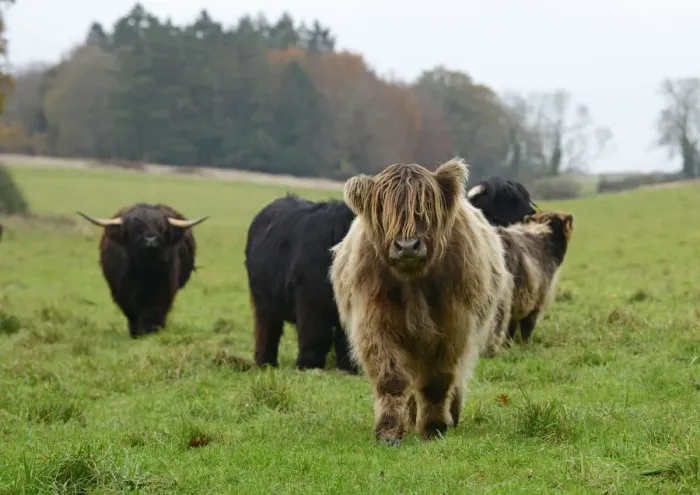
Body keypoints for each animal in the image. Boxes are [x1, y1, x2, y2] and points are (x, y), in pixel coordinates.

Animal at [77, 203, 208, 338]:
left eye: (161, 228)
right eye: (134, 229)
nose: (151, 241)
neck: (145, 271)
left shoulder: (165, 288)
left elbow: (156, 310)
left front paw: (152, 330)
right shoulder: (122, 291)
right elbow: (132, 311)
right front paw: (137, 332)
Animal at [244, 194, 358, 374]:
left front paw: (348, 369)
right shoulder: (312, 301)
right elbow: (315, 336)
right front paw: (309, 365)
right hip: (264, 301)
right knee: (268, 330)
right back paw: (266, 363)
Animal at [329, 158, 511, 445]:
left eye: (426, 207)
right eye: (383, 208)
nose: (407, 246)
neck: (413, 282)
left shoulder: (453, 326)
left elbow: (437, 380)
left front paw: (434, 427)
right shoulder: (375, 322)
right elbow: (391, 379)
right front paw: (389, 431)